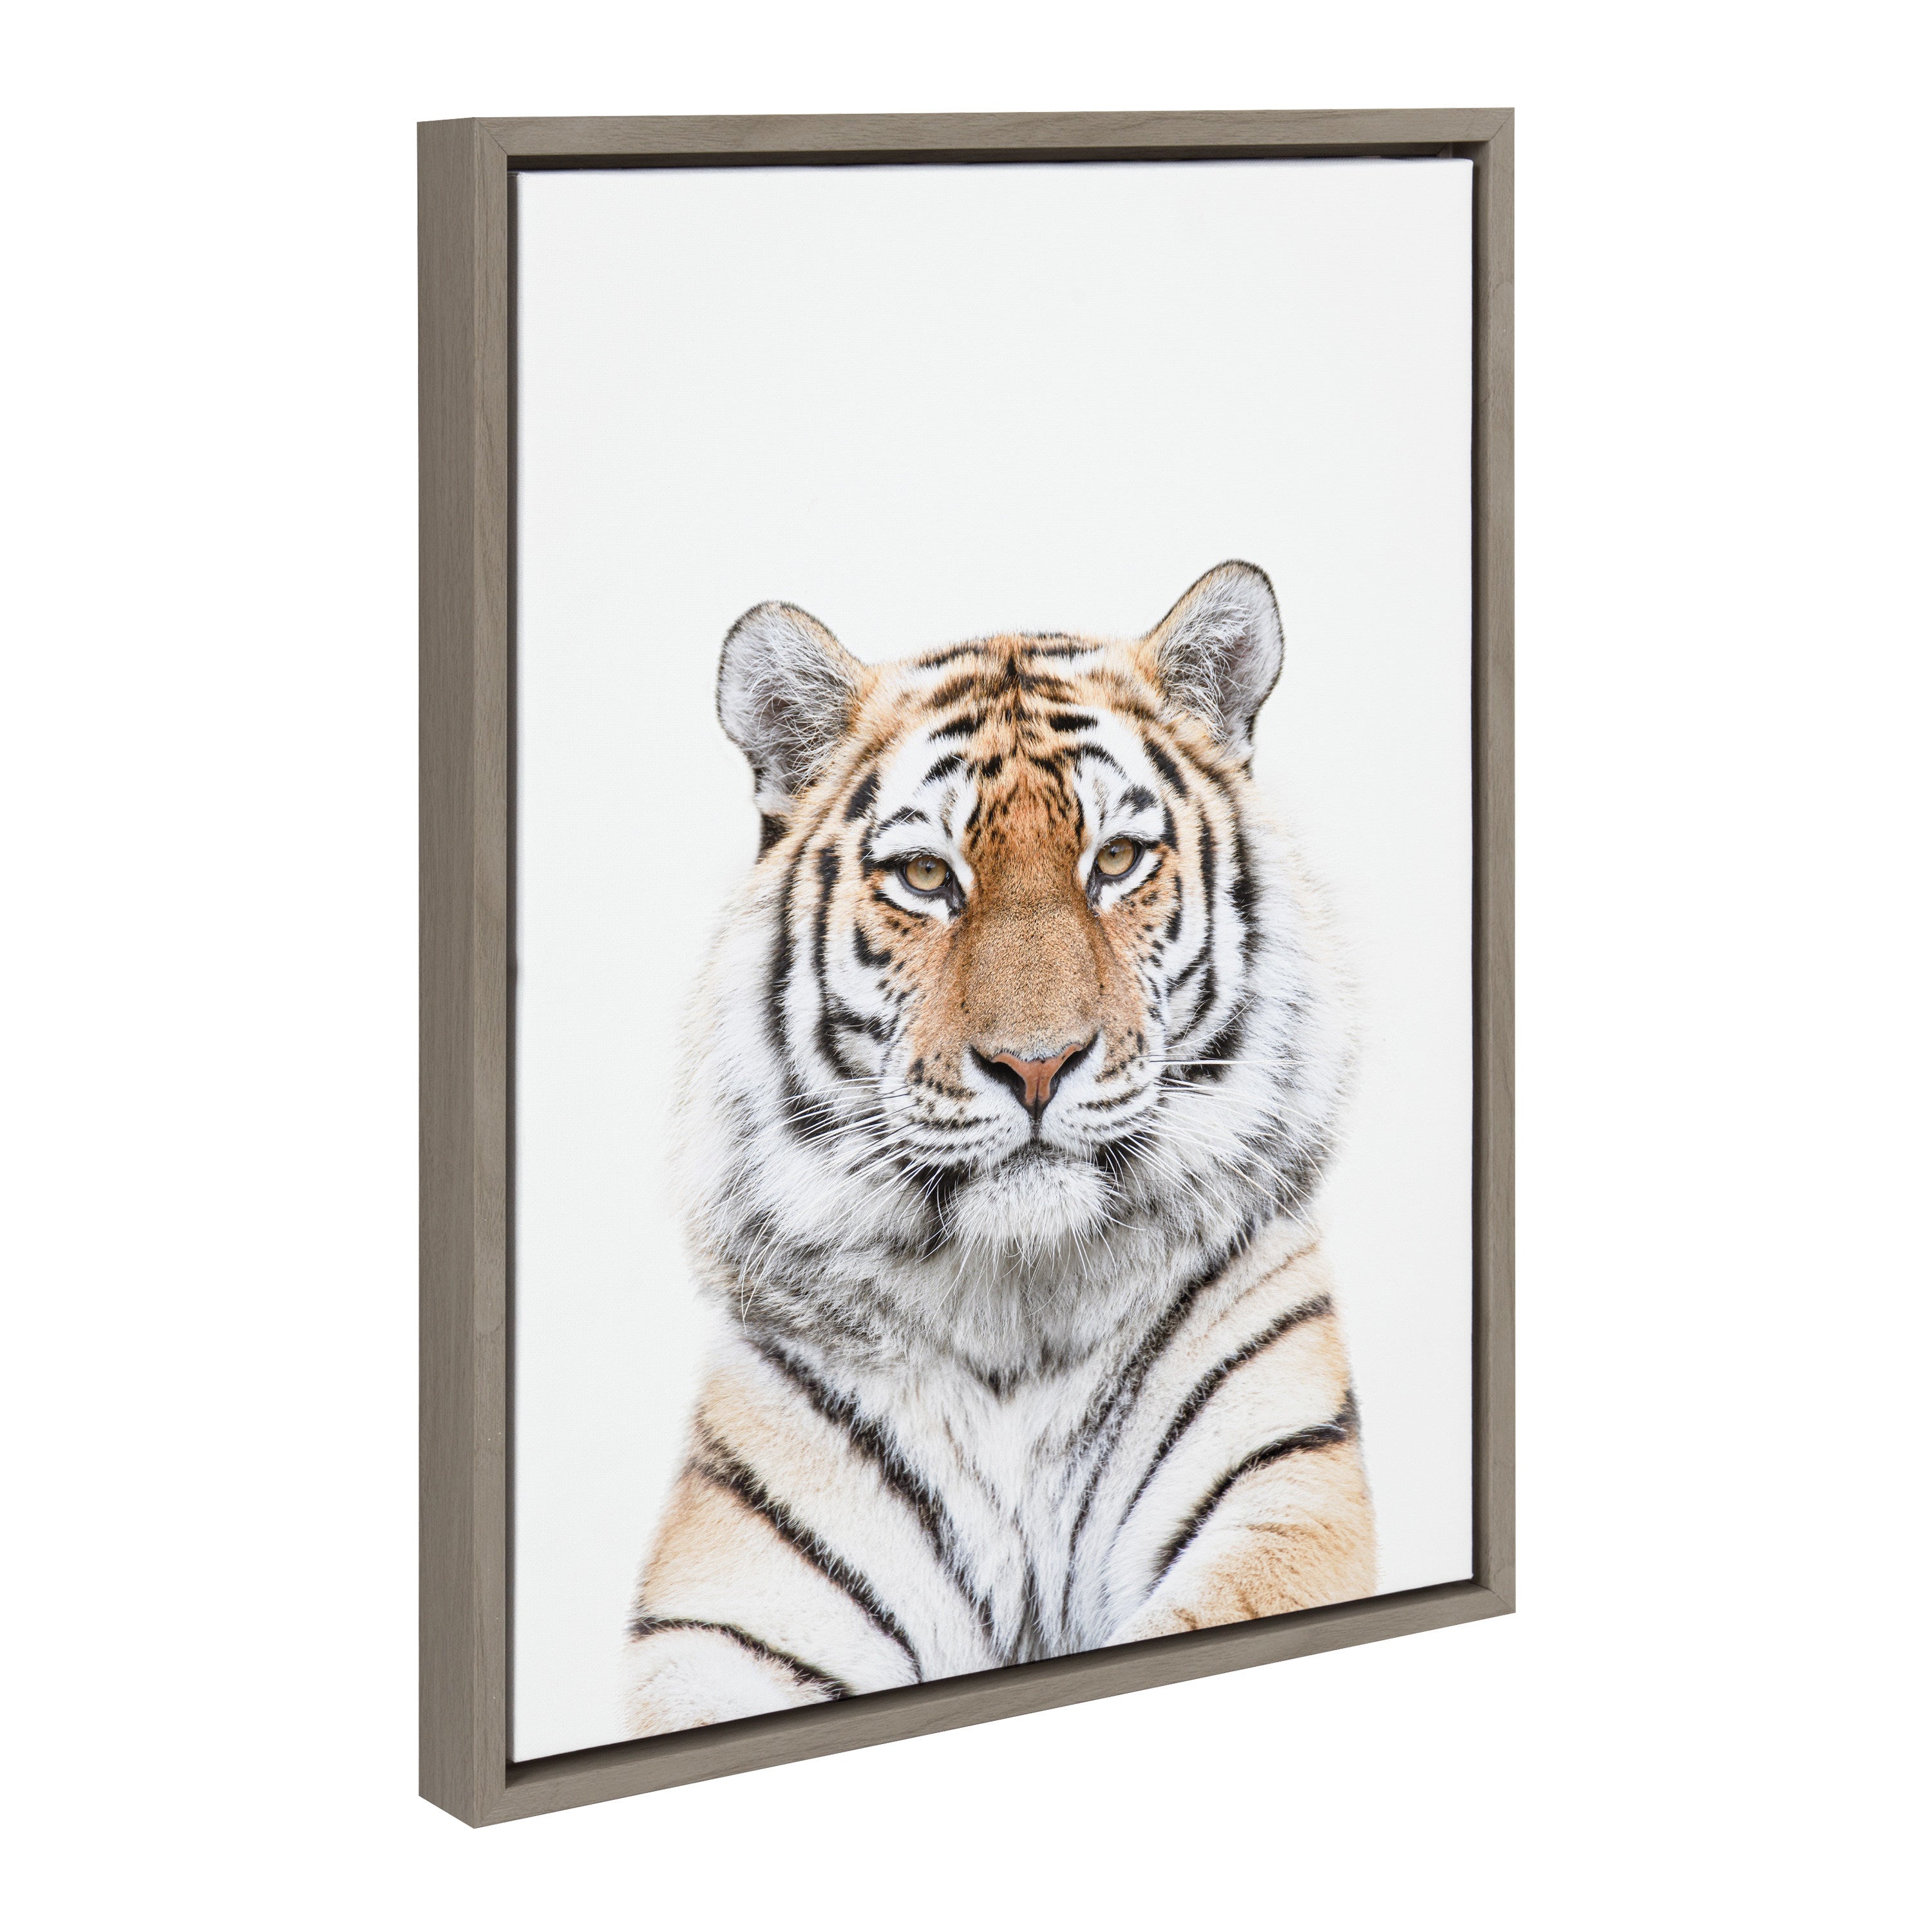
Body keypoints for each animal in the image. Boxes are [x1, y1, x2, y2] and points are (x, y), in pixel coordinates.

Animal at [621, 560, 1375, 1737]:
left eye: (1118, 860)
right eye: (927, 878)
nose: (1035, 1065)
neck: (1017, 1310)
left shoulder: (1284, 1506)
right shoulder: (729, 1621)